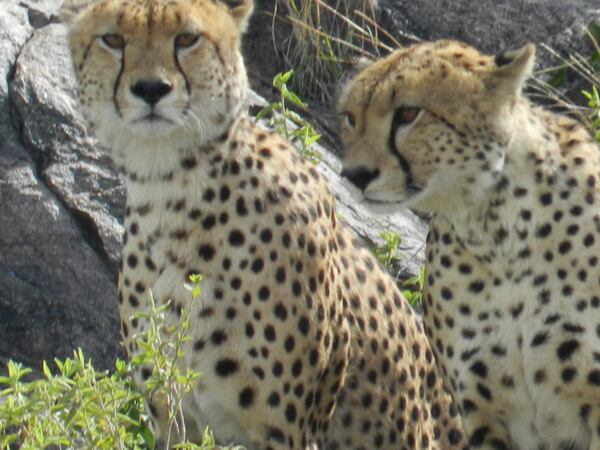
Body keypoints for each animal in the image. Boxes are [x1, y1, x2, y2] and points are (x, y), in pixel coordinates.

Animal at [59, 1, 468, 448]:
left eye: (187, 38)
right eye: (113, 39)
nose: (151, 88)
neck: (172, 189)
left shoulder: (286, 429)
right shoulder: (173, 416)